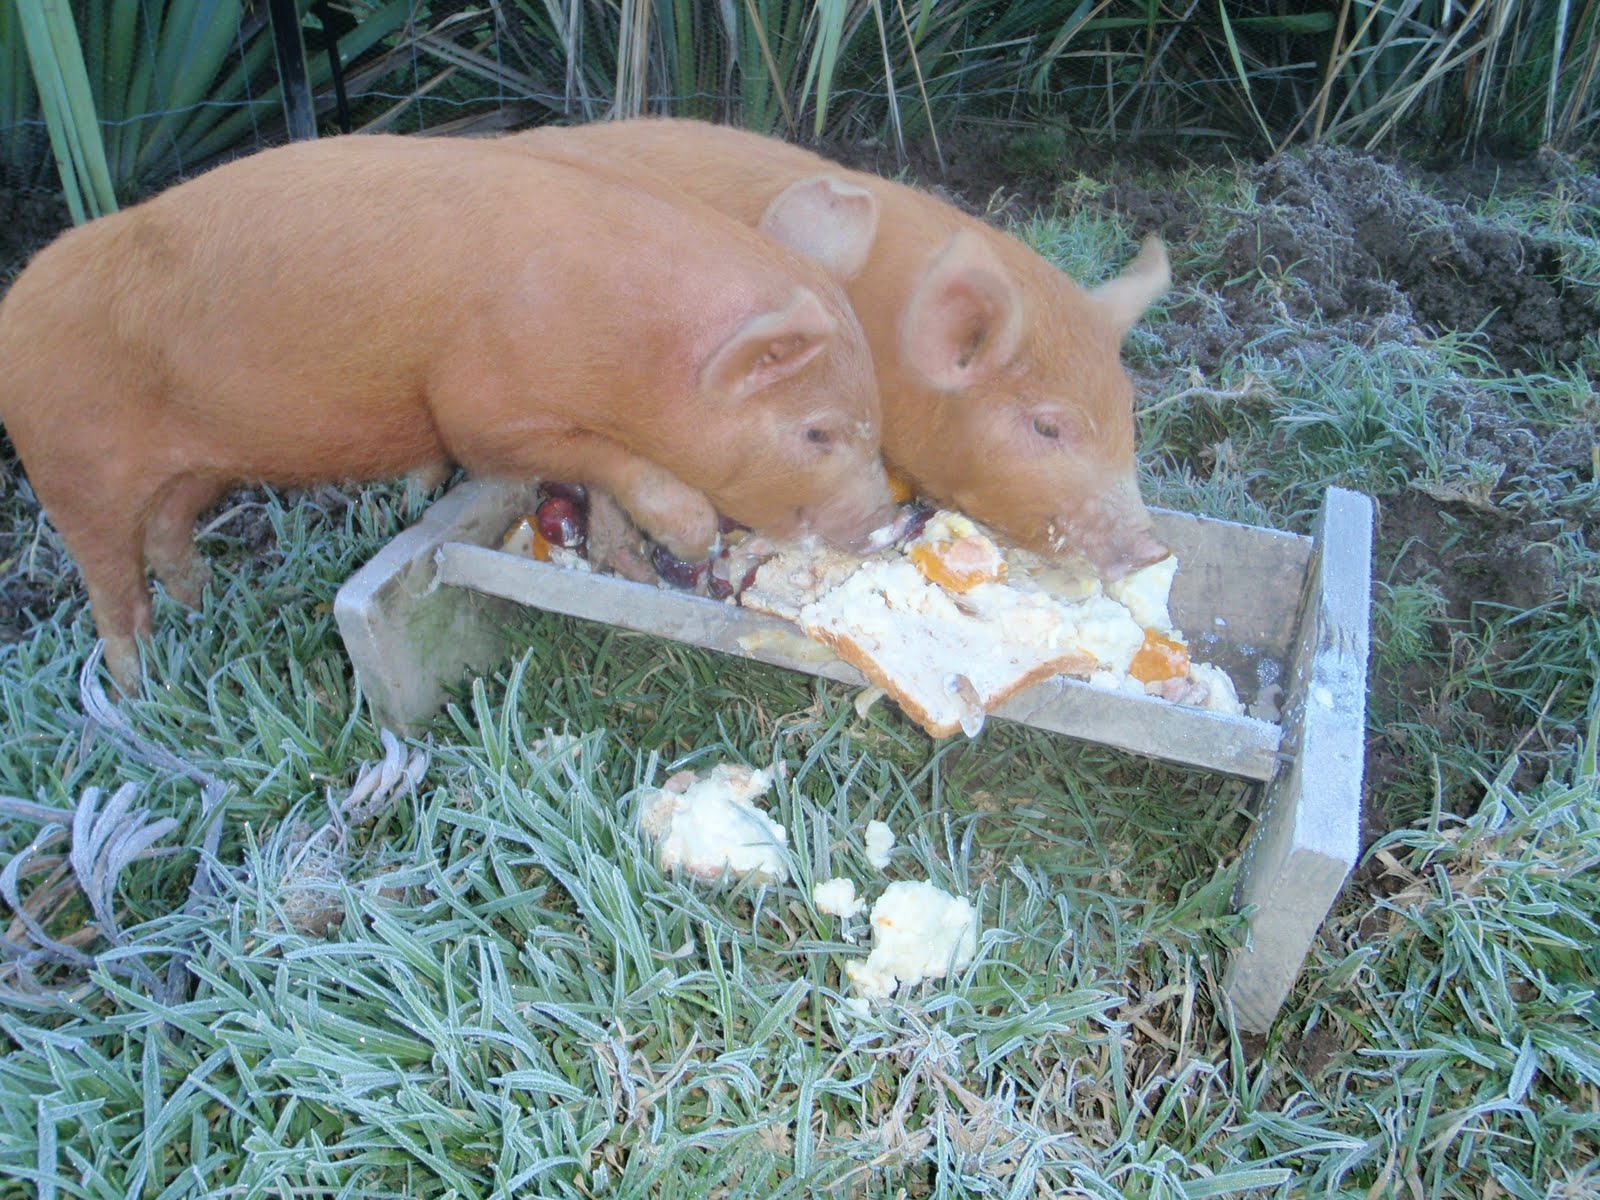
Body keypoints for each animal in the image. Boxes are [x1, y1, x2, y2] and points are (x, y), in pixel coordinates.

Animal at [0, 134, 894, 693]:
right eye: (816, 431)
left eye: (872, 415)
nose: (887, 525)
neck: (629, 346)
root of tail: (13, 309)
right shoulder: (480, 407)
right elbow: (590, 461)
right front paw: (692, 536)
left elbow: (608, 491)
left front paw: (634, 569)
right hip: (69, 468)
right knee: (111, 590)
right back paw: (140, 688)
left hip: (197, 467)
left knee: (167, 532)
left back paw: (204, 606)